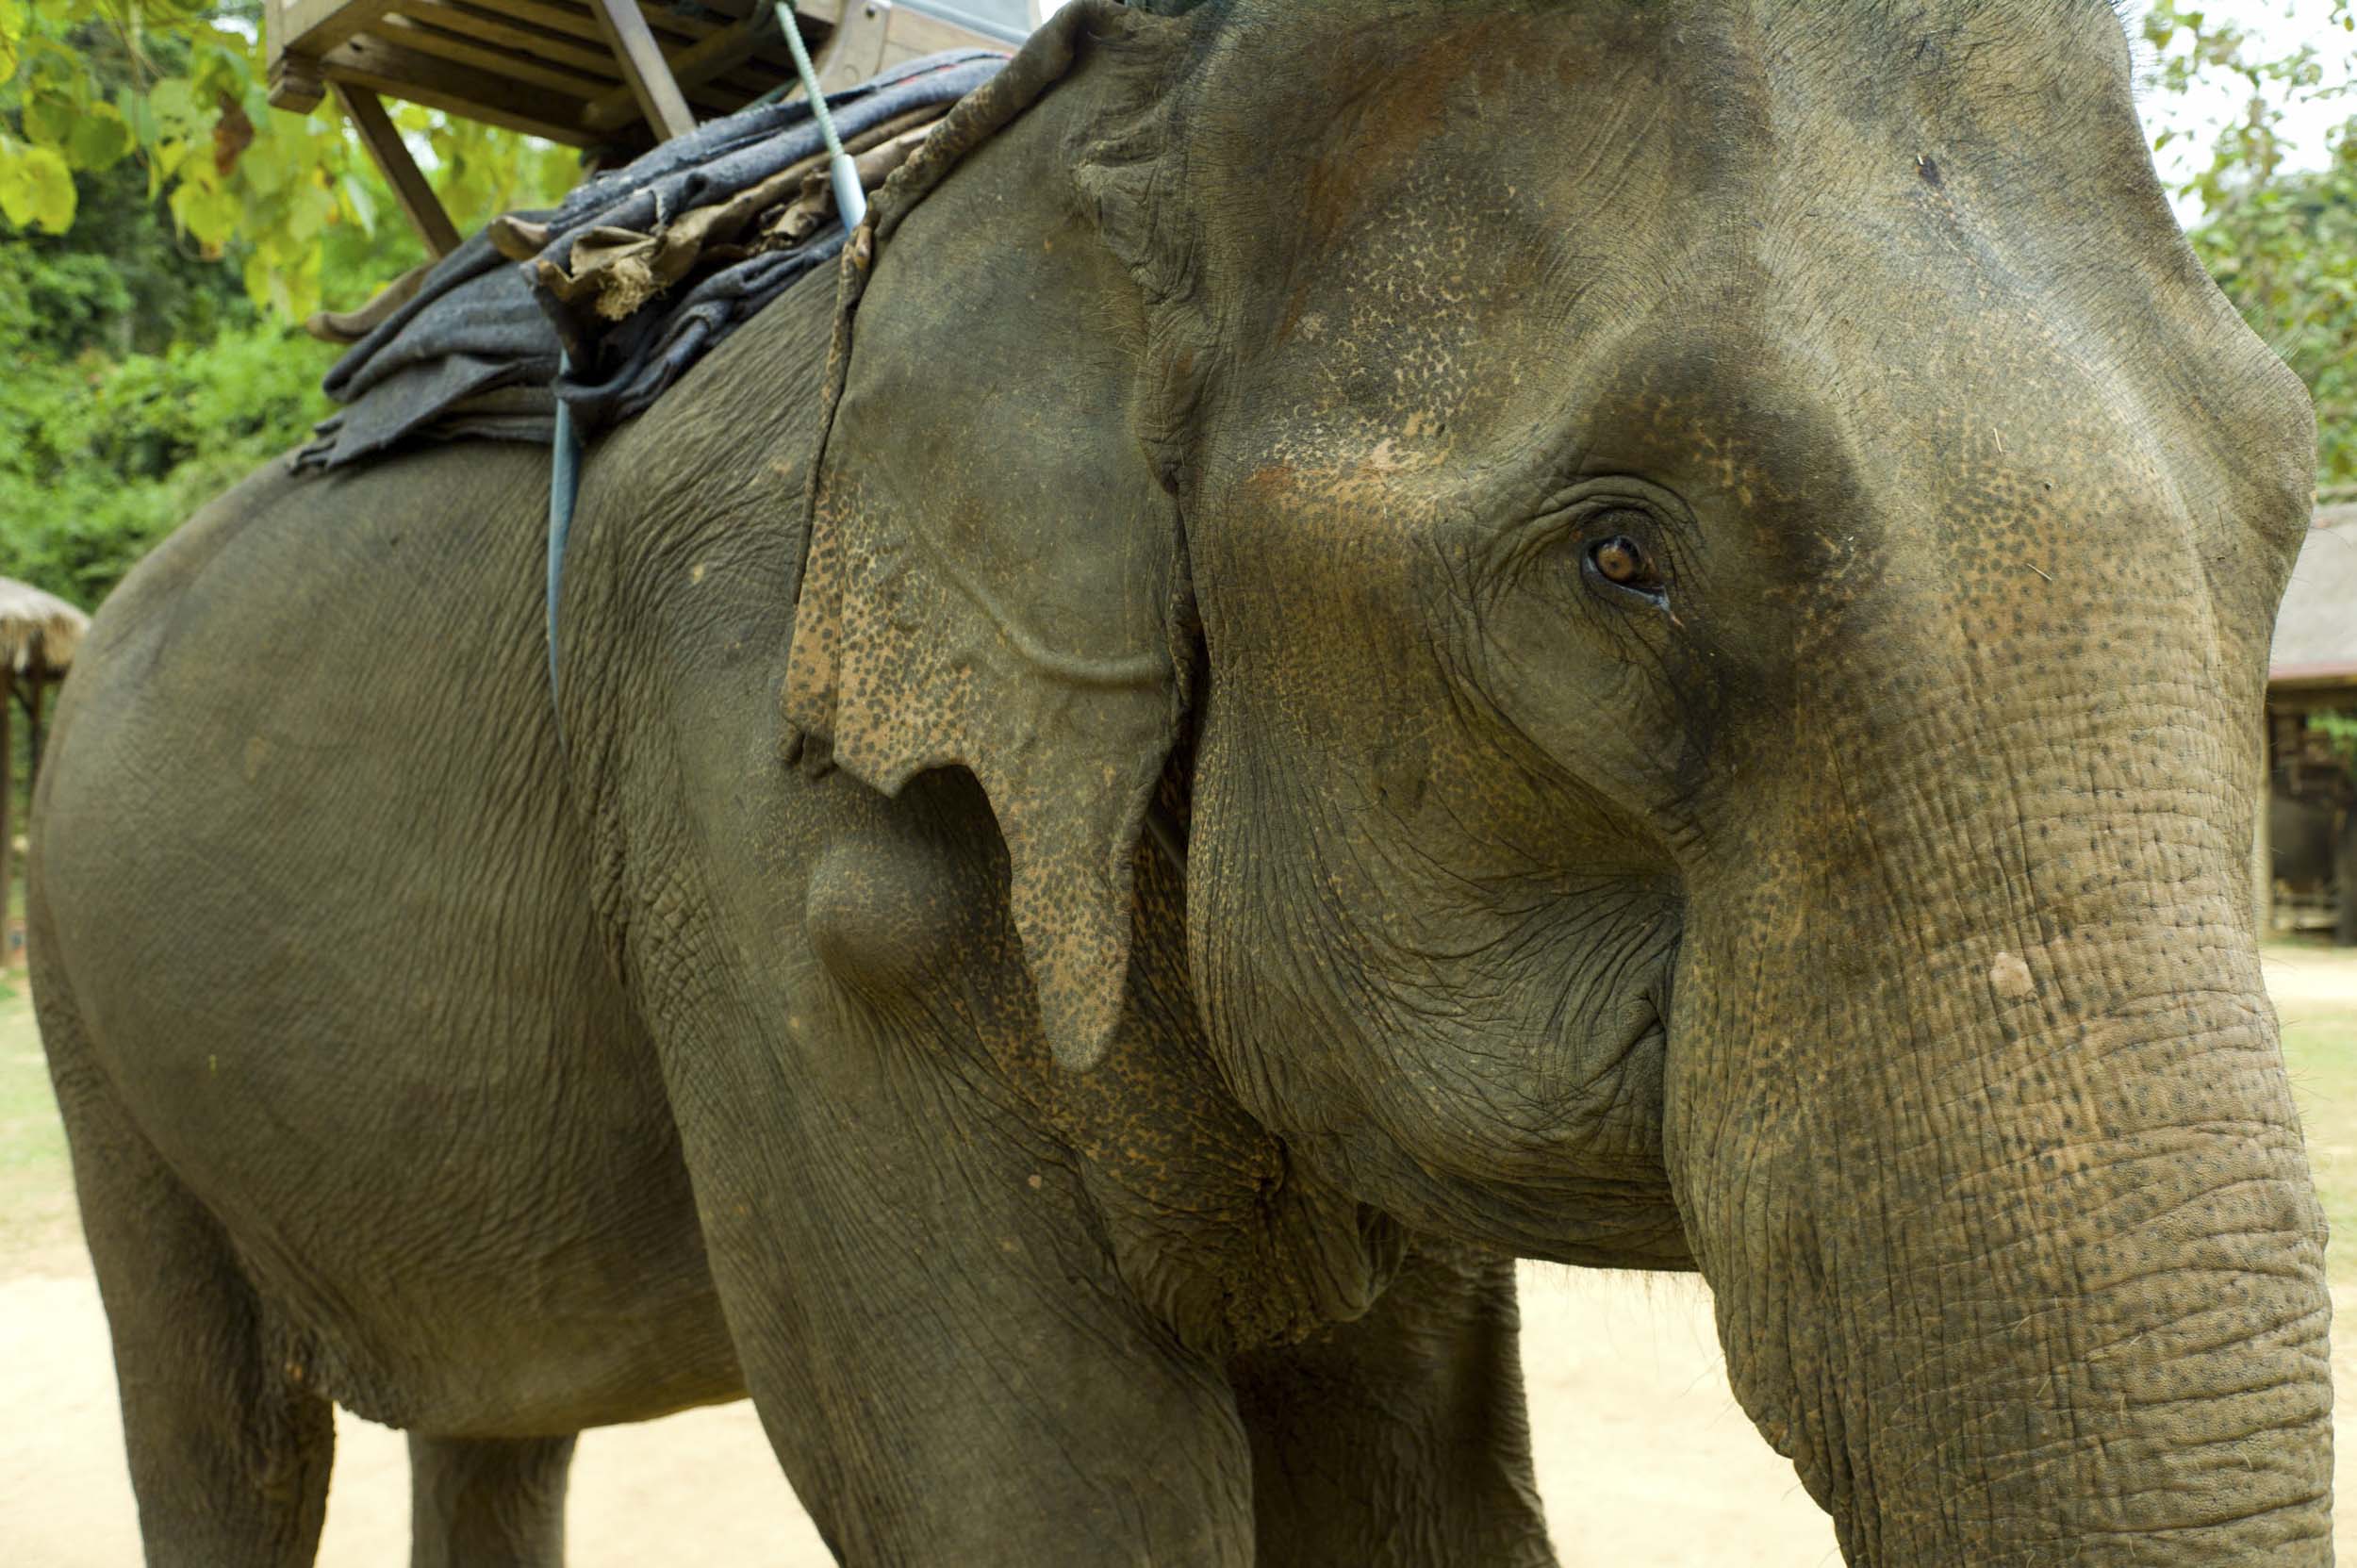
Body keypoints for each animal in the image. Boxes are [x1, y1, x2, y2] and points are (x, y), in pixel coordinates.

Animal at [27, 1, 2334, 1563]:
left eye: (2283, 492)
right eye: (1621, 560)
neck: (1092, 139)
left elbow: (1419, 1496)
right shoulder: (769, 838)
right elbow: (1034, 1507)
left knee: (488, 1428)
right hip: (85, 1001)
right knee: (222, 1434)